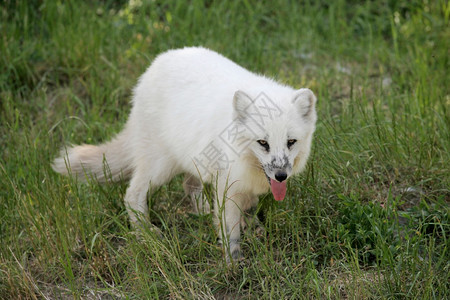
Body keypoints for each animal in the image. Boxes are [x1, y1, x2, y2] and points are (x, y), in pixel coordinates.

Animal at [52, 46, 318, 260]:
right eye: (263, 142)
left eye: (291, 142)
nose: (281, 176)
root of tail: (153, 68)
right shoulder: (229, 184)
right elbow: (230, 229)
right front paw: (234, 263)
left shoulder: (242, 184)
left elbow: (249, 209)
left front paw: (253, 229)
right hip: (160, 167)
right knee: (132, 194)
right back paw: (146, 233)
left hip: (195, 159)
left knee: (189, 185)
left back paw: (204, 213)